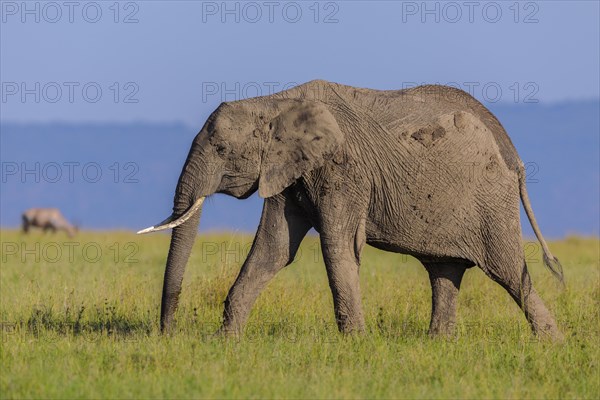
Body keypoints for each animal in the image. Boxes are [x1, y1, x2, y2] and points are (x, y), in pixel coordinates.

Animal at [138, 79, 564, 340]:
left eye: (223, 149)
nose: (168, 334)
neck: (275, 102)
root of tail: (511, 151)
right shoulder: (288, 172)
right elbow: (273, 250)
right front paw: (227, 341)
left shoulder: (342, 169)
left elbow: (336, 247)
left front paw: (355, 343)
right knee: (445, 271)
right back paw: (439, 344)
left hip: (490, 198)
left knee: (509, 270)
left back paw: (552, 344)